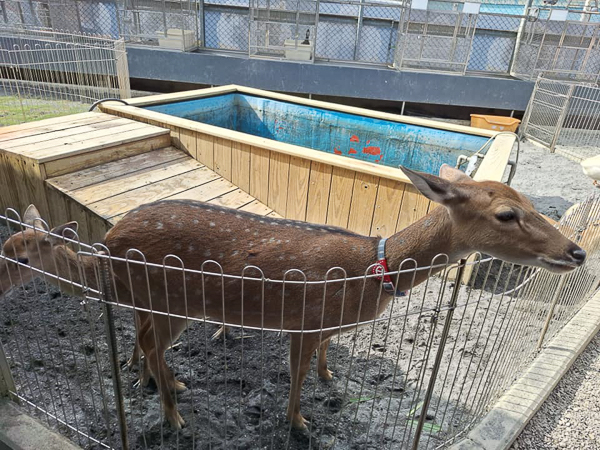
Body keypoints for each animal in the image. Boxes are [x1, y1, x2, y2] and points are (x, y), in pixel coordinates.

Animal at [0, 165, 588, 428]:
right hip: (170, 298)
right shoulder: (304, 320)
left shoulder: (323, 326)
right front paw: (297, 423)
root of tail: (108, 241)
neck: (370, 273)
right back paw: (173, 416)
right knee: (149, 342)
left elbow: (323, 359)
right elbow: (297, 373)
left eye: (528, 200)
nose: (577, 251)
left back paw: (167, 387)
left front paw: (330, 380)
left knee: (143, 339)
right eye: (507, 214)